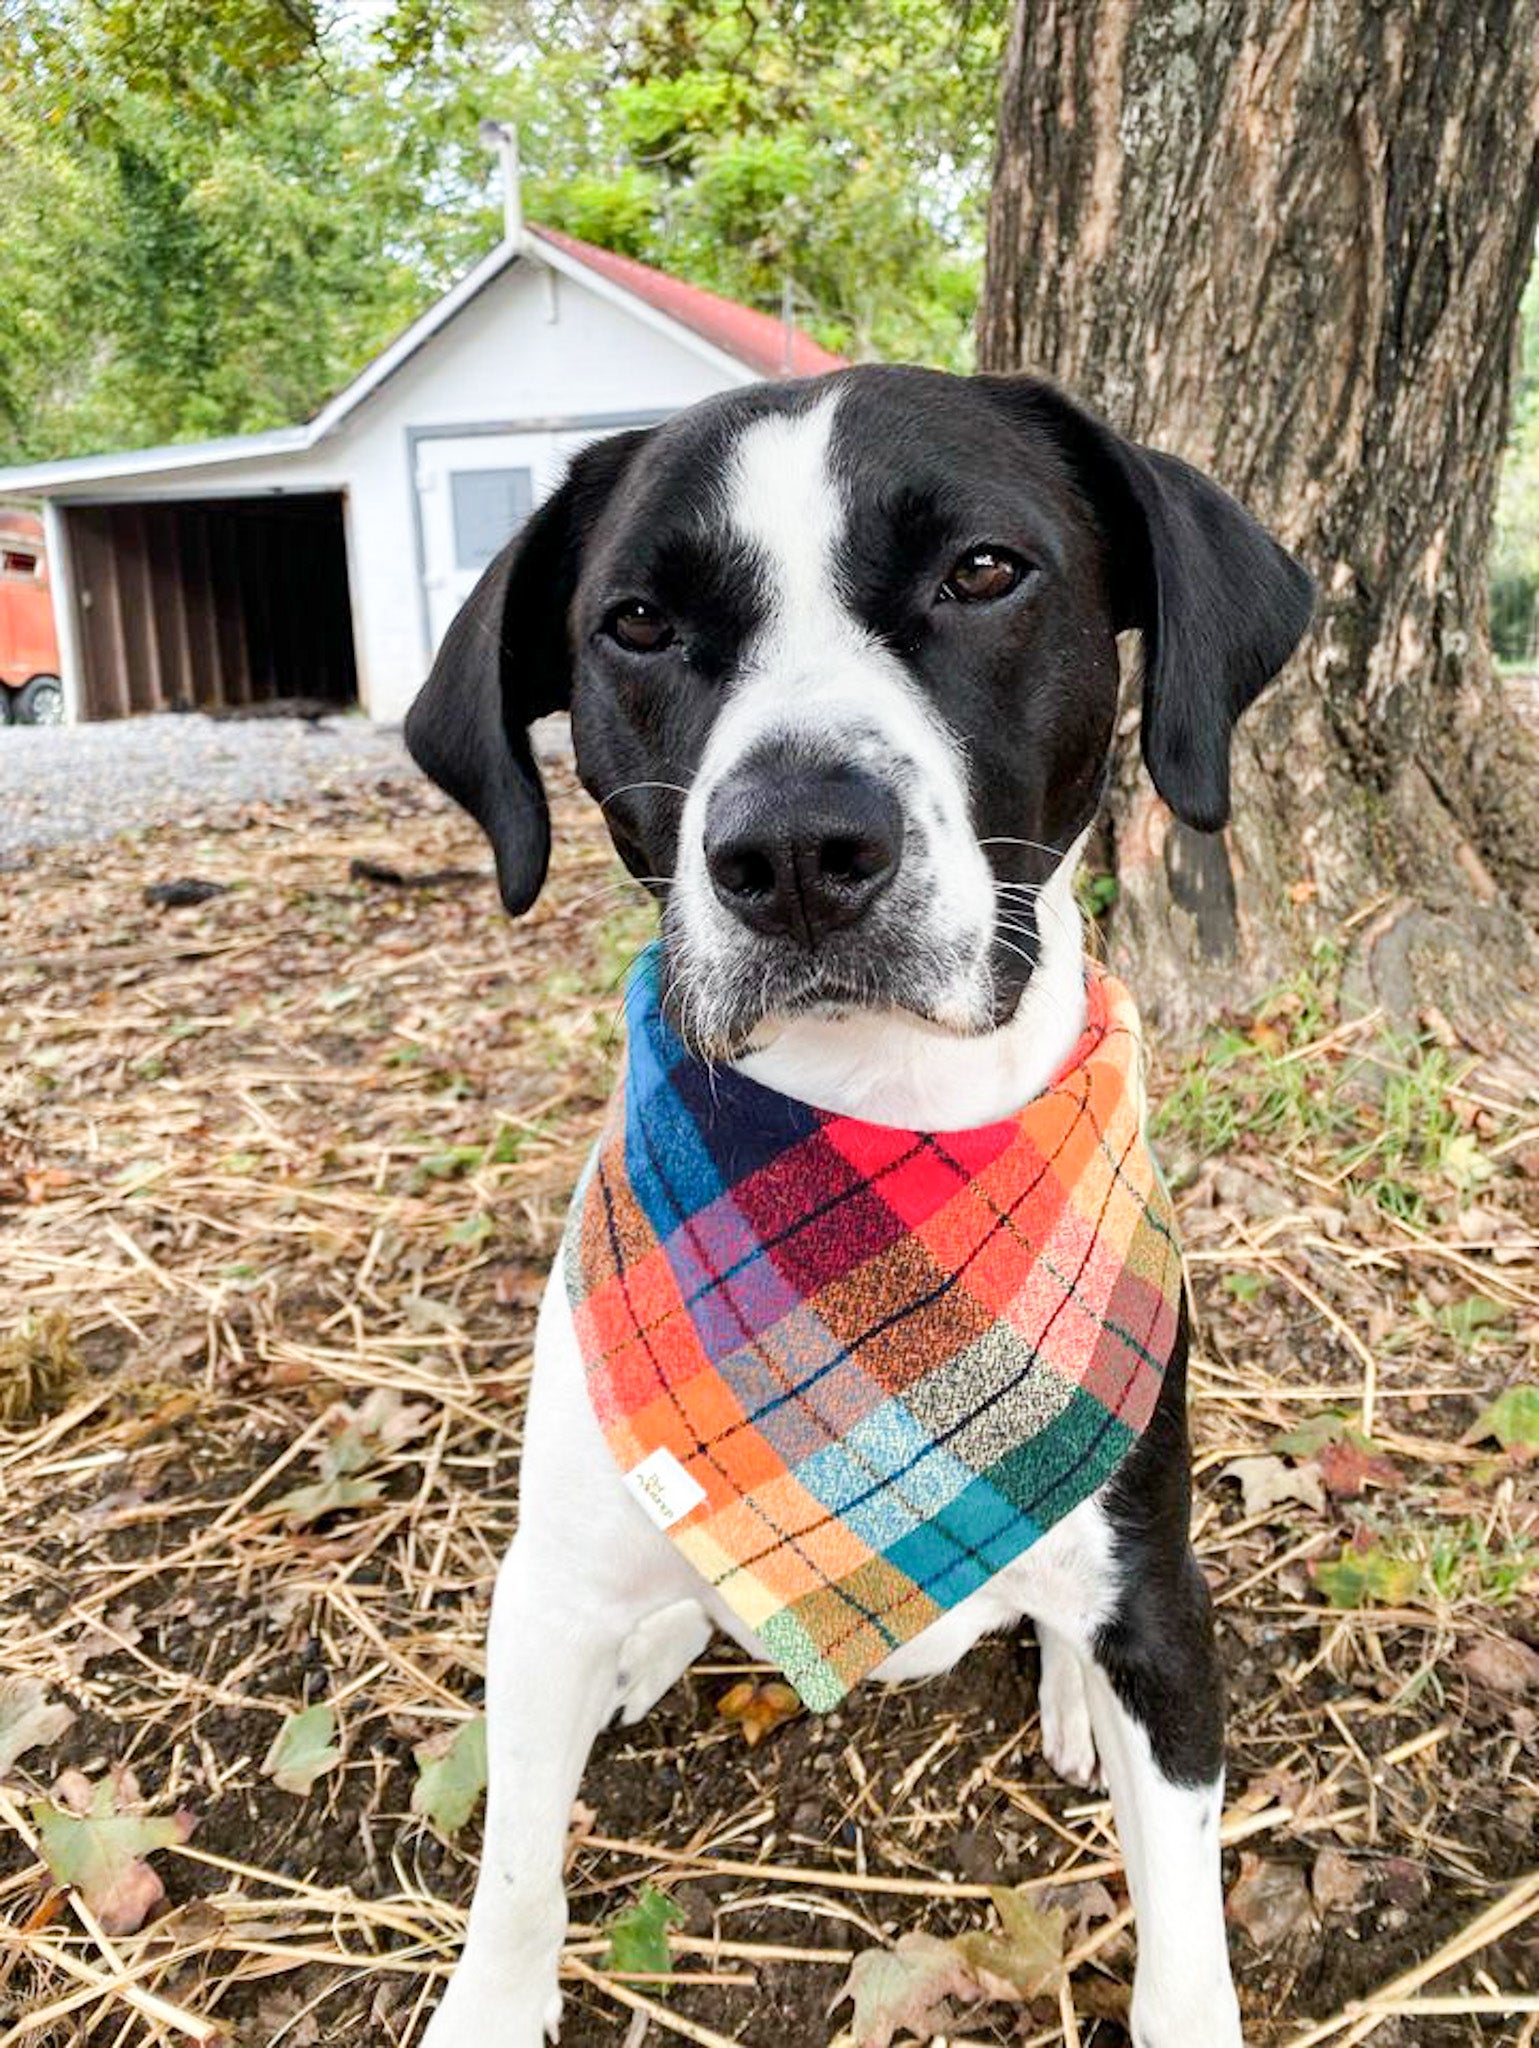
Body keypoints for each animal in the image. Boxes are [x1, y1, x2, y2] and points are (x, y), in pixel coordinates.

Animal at [399, 368, 1311, 2048]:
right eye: (635, 621)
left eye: (981, 571)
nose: (795, 850)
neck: (877, 1139)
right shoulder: (539, 1591)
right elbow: (510, 1873)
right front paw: (490, 1999)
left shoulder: (1161, 1606)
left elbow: (1182, 1934)